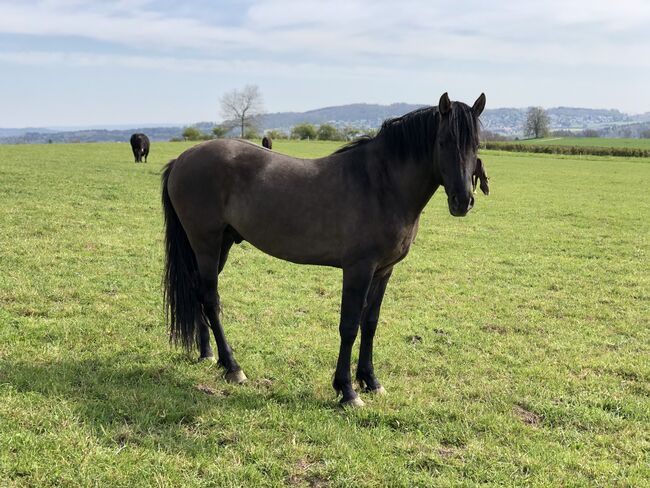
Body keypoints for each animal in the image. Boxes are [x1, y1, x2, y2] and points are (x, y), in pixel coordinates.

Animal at [161, 93, 489, 407]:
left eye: (476, 144)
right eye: (443, 141)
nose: (463, 201)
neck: (380, 184)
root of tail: (183, 158)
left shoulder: (384, 271)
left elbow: (370, 323)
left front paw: (371, 381)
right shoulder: (358, 270)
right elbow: (350, 326)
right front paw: (347, 390)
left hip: (221, 244)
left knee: (197, 292)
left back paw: (207, 354)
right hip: (206, 243)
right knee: (210, 299)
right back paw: (233, 367)